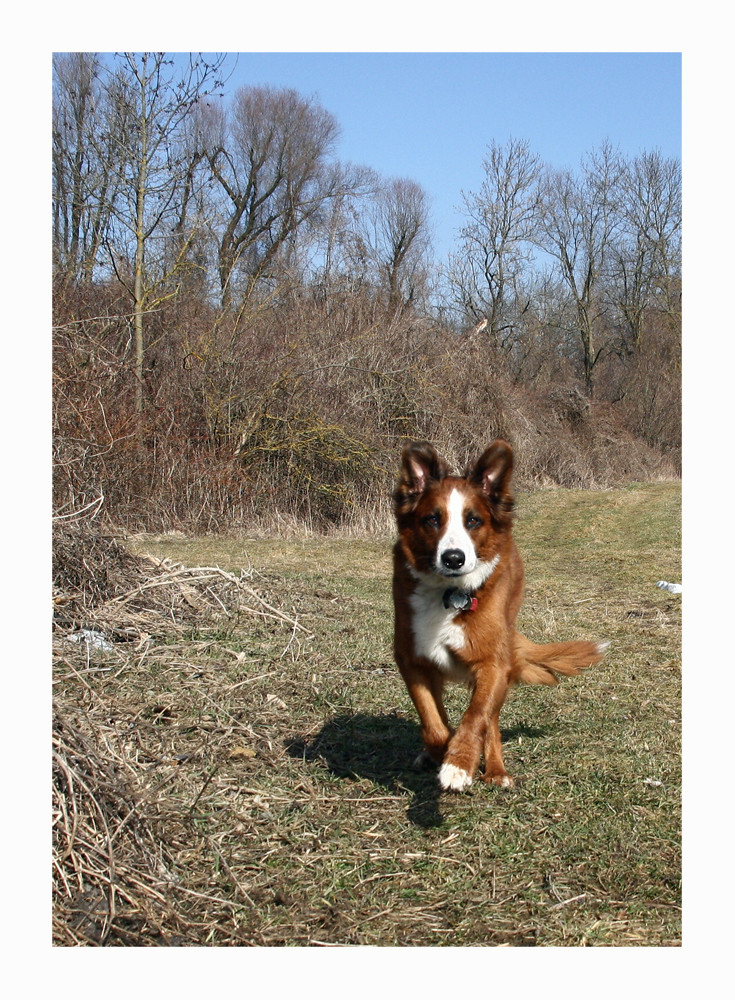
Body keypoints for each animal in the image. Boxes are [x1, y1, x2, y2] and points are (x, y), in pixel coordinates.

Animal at [394, 442, 608, 792]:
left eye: (473, 521)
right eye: (432, 519)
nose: (453, 559)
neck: (450, 593)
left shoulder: (493, 665)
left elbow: (477, 717)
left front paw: (459, 763)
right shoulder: (412, 660)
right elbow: (434, 723)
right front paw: (440, 751)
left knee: (490, 721)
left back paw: (495, 770)